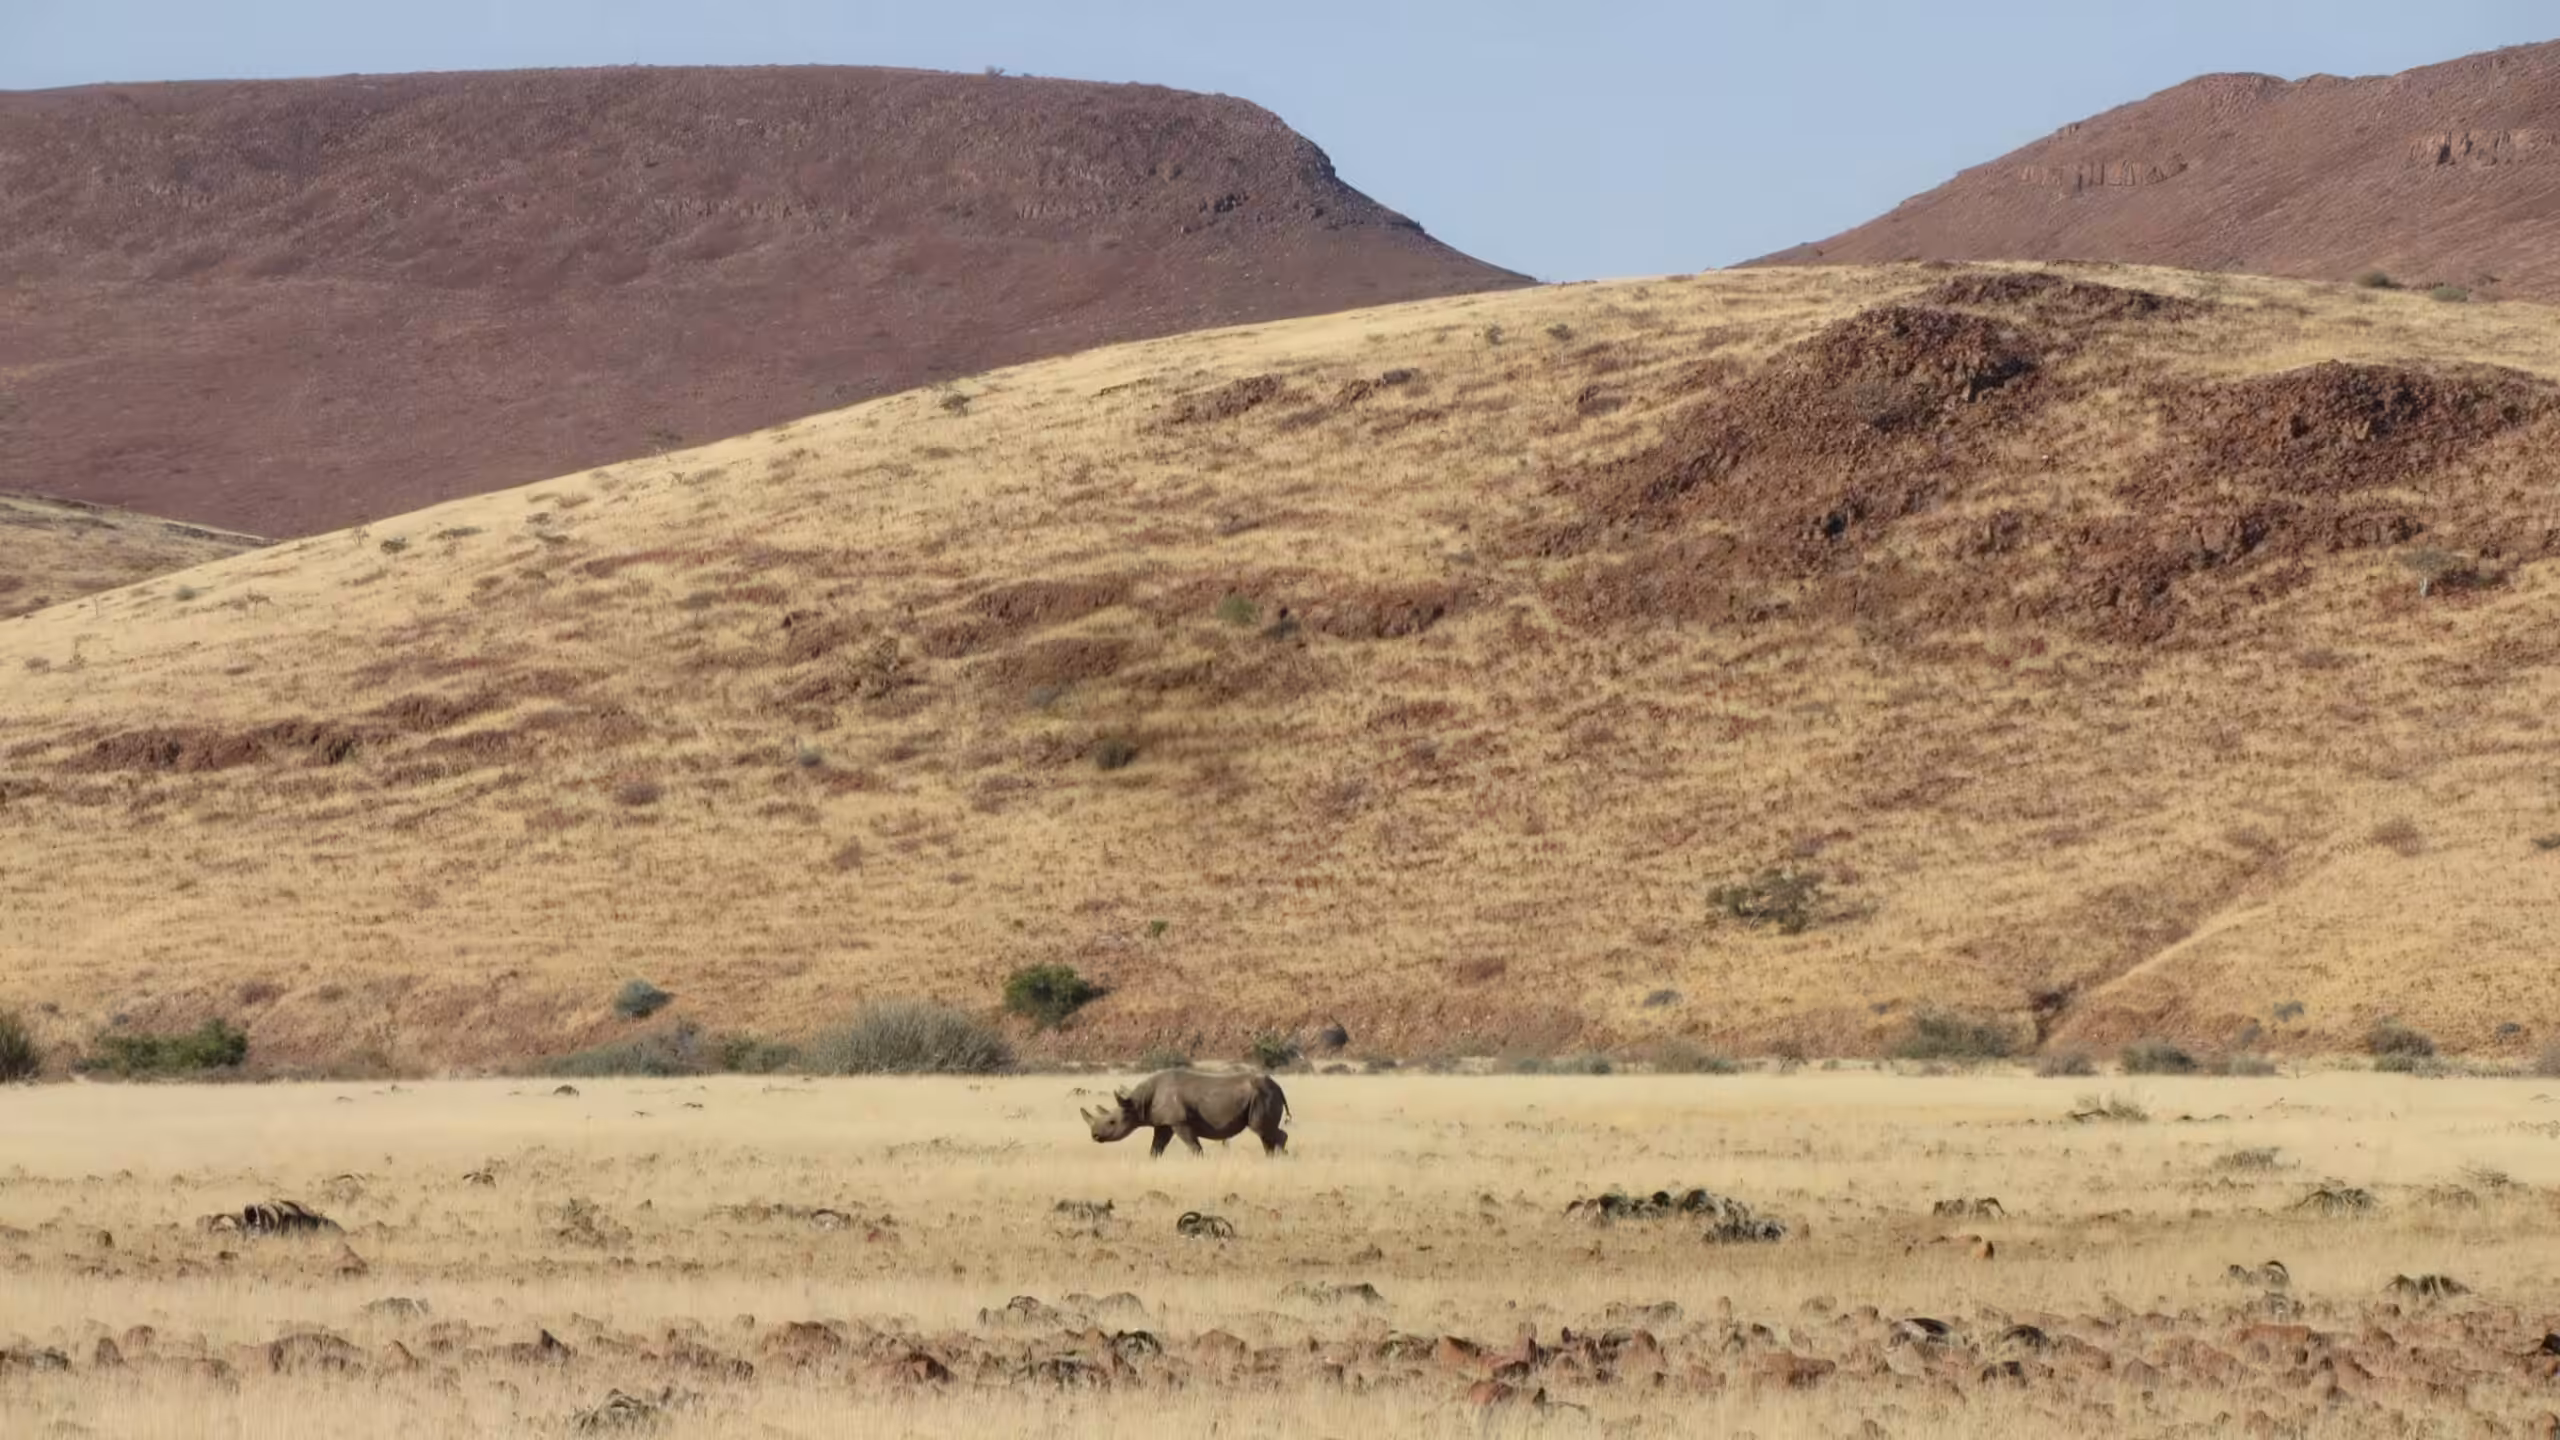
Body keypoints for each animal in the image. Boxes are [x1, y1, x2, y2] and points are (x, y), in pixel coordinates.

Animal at [1083, 1070, 1290, 1157]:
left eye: (1112, 1122)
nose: (1094, 1136)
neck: (1137, 1102)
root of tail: (1279, 1087)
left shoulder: (1179, 1121)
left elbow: (1194, 1146)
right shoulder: (1164, 1123)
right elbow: (1156, 1147)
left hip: (1262, 1095)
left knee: (1262, 1129)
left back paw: (1279, 1159)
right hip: (1262, 1094)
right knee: (1265, 1134)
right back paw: (1270, 1159)